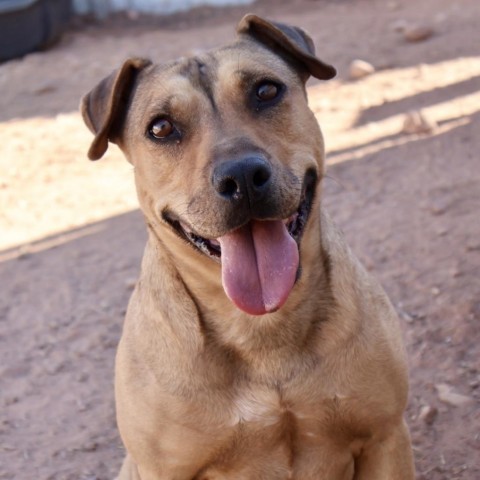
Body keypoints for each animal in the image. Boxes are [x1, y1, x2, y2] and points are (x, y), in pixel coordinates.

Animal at [80, 15, 414, 480]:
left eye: (266, 91)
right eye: (160, 128)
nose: (240, 176)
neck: (262, 329)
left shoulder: (385, 436)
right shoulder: (162, 468)